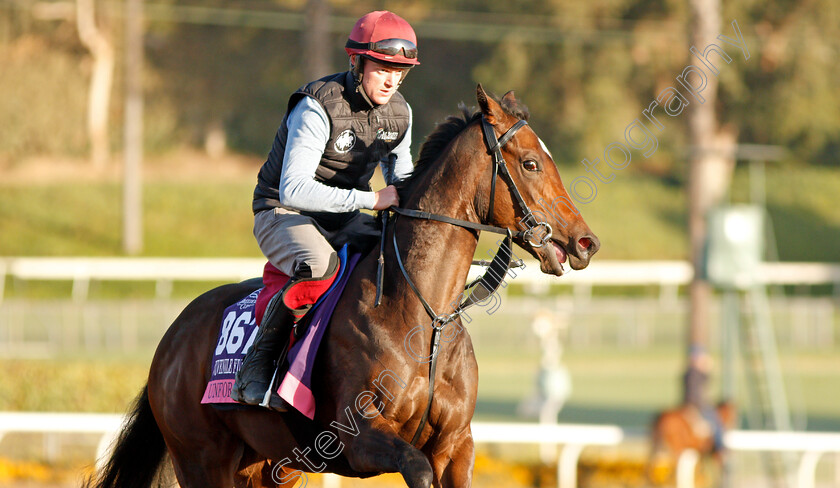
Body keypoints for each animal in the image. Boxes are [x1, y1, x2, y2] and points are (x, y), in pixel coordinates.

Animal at [88, 86, 600, 488]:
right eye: (531, 163)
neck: (425, 316)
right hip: (201, 459)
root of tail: (173, 337)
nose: (585, 242)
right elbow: (416, 470)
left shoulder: (456, 444)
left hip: (271, 466)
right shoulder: (358, 439)